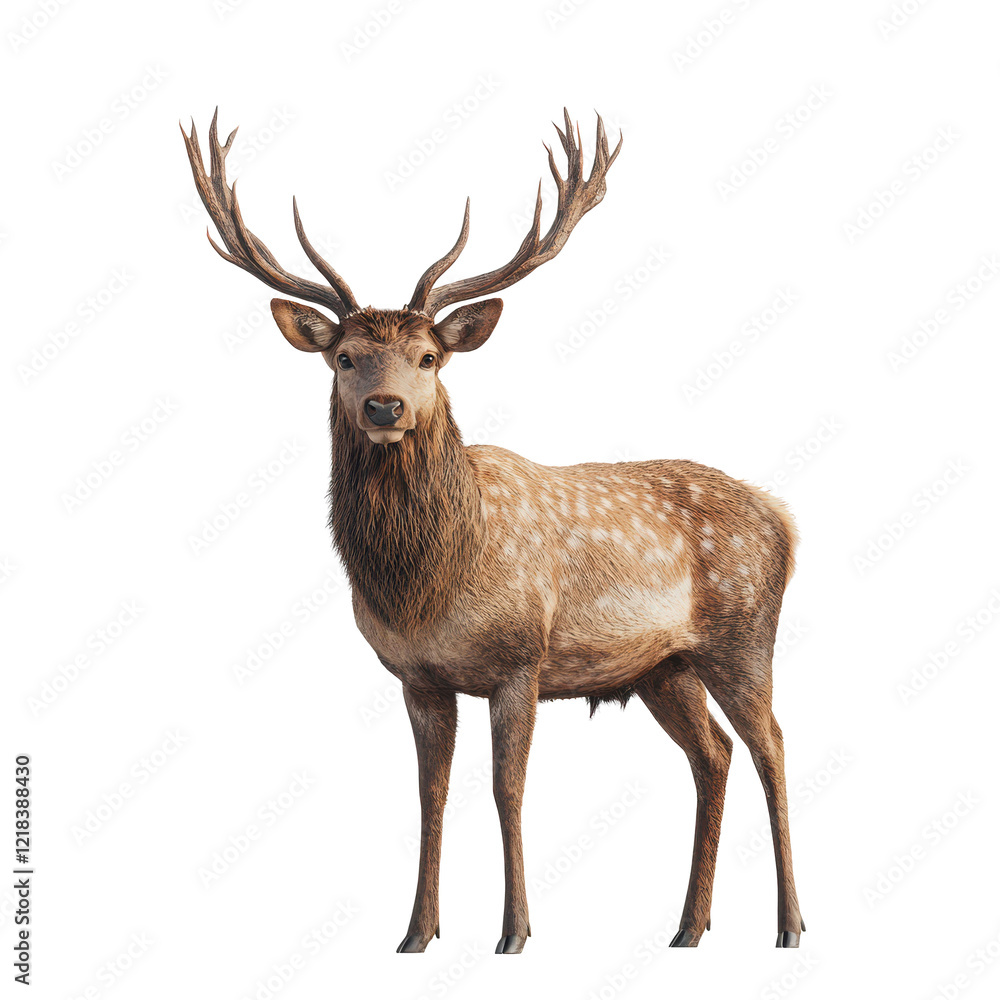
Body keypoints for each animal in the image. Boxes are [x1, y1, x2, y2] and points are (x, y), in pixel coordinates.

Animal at [181, 108, 806, 954]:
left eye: (429, 357)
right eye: (343, 357)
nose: (385, 407)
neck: (430, 583)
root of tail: (785, 519)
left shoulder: (521, 659)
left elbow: (508, 790)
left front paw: (514, 932)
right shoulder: (417, 677)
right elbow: (432, 795)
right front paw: (417, 933)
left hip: (743, 635)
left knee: (771, 744)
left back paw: (789, 924)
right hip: (662, 667)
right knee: (714, 756)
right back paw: (688, 927)